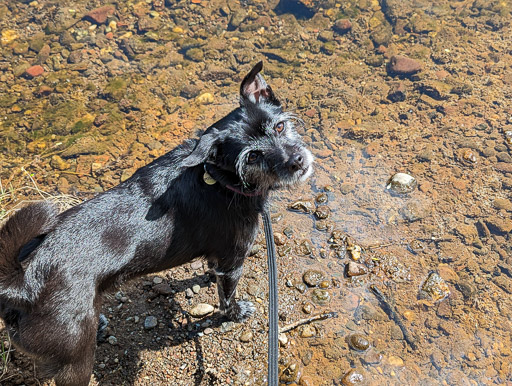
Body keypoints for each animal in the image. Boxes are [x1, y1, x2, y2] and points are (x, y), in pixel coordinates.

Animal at [0, 61, 312, 384]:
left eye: (279, 126)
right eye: (252, 157)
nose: (297, 161)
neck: (220, 178)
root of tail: (22, 286)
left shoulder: (218, 258)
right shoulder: (232, 262)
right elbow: (226, 299)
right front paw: (236, 313)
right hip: (76, 359)